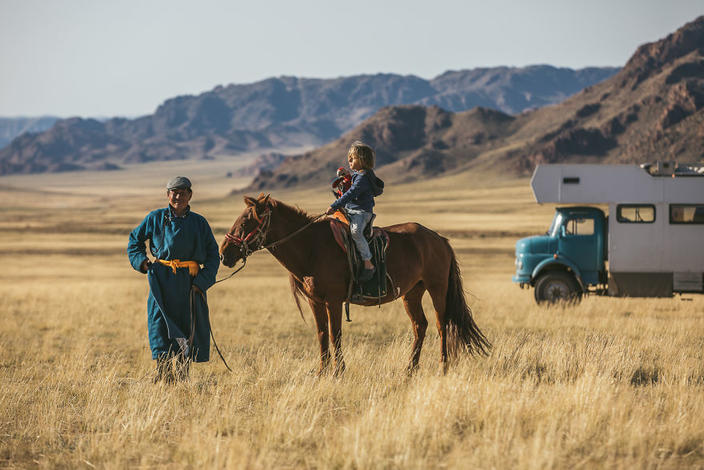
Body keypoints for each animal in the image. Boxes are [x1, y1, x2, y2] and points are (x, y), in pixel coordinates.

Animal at [220, 194, 490, 374]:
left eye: (245, 223)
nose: (224, 254)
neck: (311, 248)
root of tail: (439, 239)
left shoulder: (334, 300)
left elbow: (335, 334)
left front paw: (339, 372)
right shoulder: (315, 301)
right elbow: (321, 334)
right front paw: (322, 372)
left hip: (437, 288)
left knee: (441, 324)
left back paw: (443, 366)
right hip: (412, 293)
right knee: (419, 325)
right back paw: (410, 369)